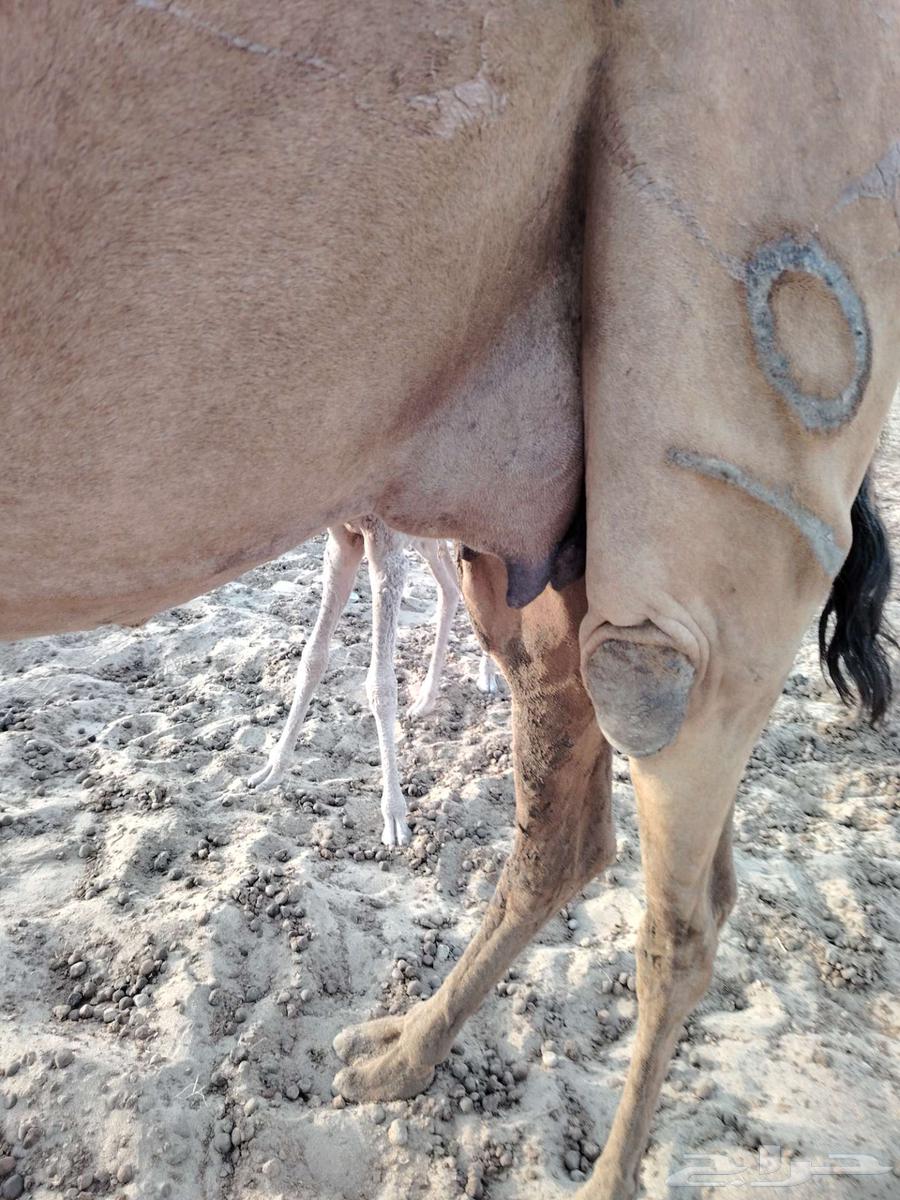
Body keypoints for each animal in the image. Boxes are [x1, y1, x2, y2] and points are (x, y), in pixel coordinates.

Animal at [248, 518, 498, 846]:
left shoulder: (386, 545)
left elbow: (381, 684)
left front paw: (394, 816)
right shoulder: (342, 541)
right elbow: (313, 657)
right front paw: (272, 769)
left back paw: (488, 675)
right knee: (451, 588)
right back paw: (425, 700)